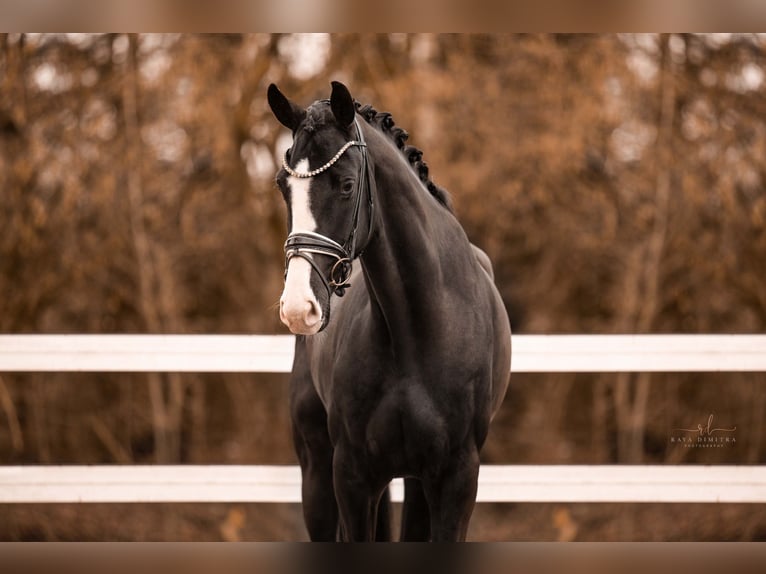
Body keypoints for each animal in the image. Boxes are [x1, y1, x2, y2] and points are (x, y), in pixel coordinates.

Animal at [268, 82, 512, 544]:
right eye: (282, 185)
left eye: (347, 185)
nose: (298, 307)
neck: (416, 326)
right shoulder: (352, 477)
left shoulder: (456, 480)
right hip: (316, 469)